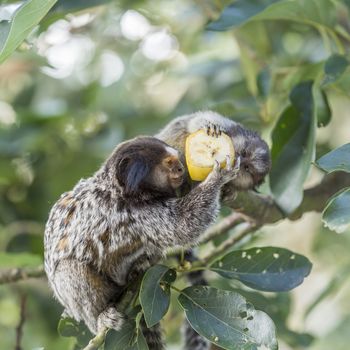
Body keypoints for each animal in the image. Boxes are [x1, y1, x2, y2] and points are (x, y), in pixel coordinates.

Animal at [43, 136, 238, 348]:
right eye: (169, 163)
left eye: (178, 162)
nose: (181, 169)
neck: (121, 191)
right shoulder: (132, 212)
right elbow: (183, 225)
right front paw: (218, 177)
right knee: (70, 268)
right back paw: (100, 317)